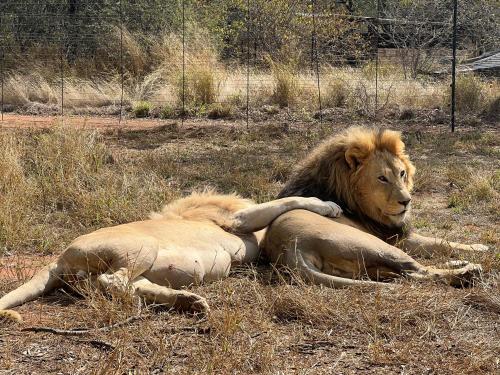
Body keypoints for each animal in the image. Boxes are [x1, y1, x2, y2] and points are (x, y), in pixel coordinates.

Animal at [0, 192, 342, 324]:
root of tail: (59, 257)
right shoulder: (239, 220)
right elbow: (288, 200)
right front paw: (330, 206)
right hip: (142, 246)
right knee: (112, 281)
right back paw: (145, 305)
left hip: (132, 267)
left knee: (126, 285)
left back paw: (190, 302)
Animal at [266, 126, 488, 288]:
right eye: (382, 178)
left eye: (402, 173)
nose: (407, 201)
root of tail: (292, 249)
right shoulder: (393, 239)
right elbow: (439, 242)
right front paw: (479, 252)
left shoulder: (398, 236)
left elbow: (442, 242)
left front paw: (478, 248)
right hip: (376, 245)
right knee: (417, 270)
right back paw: (468, 272)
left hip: (369, 265)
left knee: (407, 274)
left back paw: (459, 264)